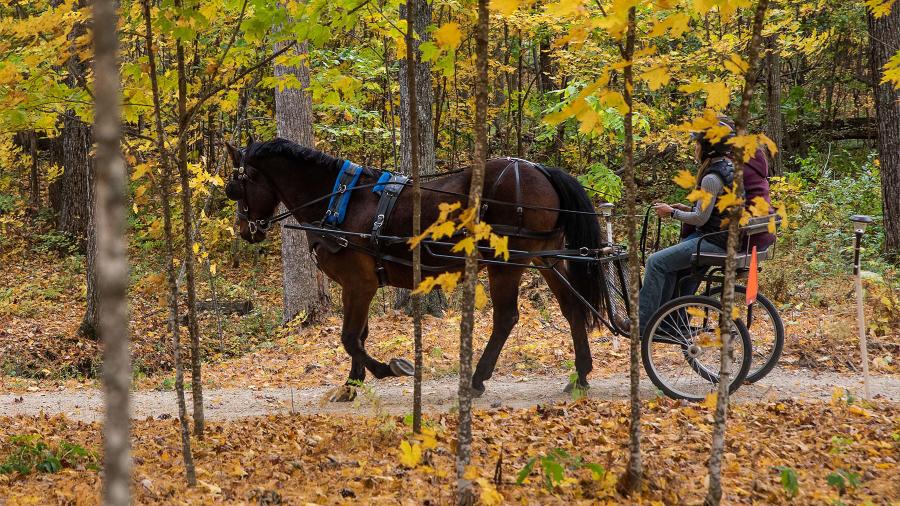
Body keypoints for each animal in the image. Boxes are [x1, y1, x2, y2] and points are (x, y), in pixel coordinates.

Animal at [224, 138, 604, 401]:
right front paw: (351, 384)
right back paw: (581, 374)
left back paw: (477, 379)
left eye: (235, 187)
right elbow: (359, 335)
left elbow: (349, 337)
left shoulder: (358, 282)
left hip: (508, 262)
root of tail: (539, 169)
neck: (339, 201)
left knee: (506, 318)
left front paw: (386, 369)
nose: (245, 230)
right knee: (572, 308)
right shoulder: (360, 285)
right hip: (546, 257)